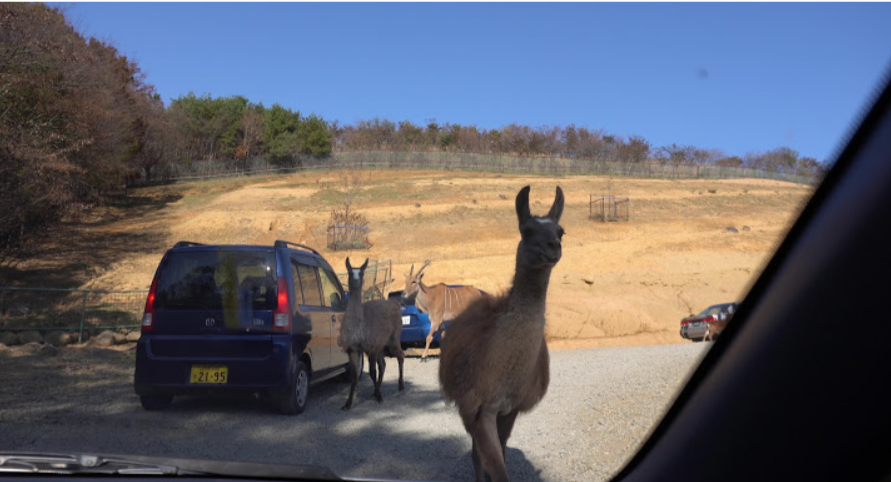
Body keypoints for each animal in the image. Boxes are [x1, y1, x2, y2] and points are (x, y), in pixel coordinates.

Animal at [438, 185, 564, 482]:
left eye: (561, 231)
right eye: (526, 231)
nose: (554, 246)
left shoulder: (510, 409)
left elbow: (501, 456)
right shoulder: (480, 407)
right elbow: (493, 464)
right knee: (475, 454)